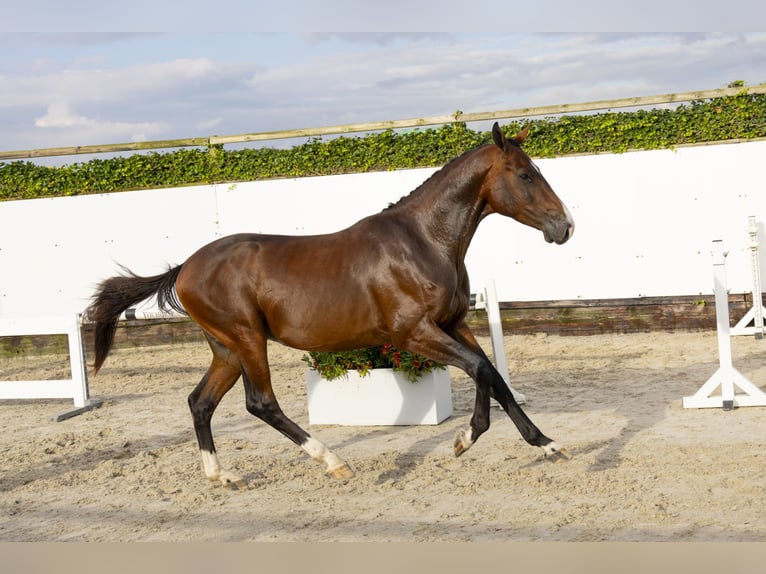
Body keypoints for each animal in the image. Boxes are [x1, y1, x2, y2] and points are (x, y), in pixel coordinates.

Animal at [87, 122, 572, 490]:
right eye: (525, 175)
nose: (564, 226)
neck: (423, 241)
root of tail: (185, 266)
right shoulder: (413, 333)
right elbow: (481, 370)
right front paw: (470, 438)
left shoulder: (453, 324)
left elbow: (493, 375)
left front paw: (541, 443)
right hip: (247, 338)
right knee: (260, 403)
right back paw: (334, 462)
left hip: (226, 349)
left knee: (200, 402)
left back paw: (221, 475)